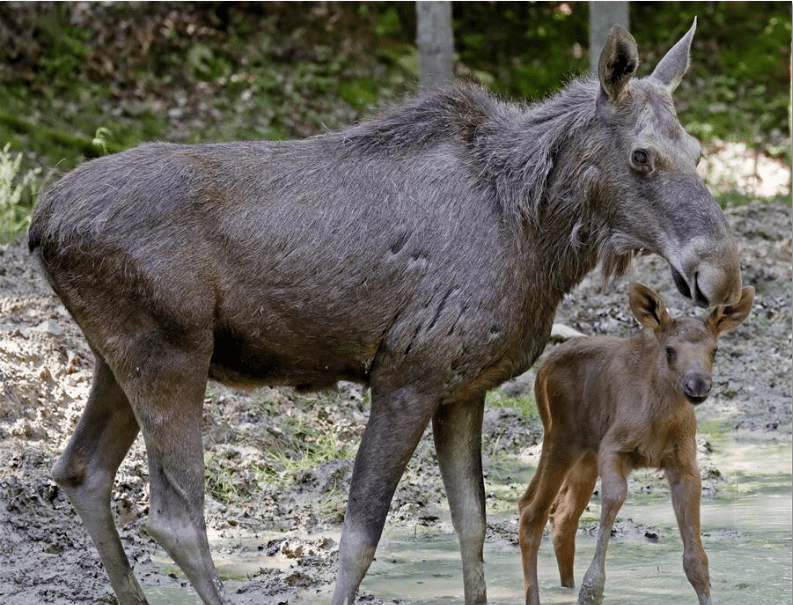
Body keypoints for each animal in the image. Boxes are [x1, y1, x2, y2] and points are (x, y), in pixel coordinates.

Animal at [516, 280, 752, 600]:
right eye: (670, 350)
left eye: (714, 350)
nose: (698, 385)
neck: (660, 423)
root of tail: (540, 369)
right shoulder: (614, 447)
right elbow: (615, 497)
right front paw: (591, 590)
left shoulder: (683, 463)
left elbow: (696, 560)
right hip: (561, 438)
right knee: (532, 512)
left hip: (585, 455)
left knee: (561, 516)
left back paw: (566, 586)